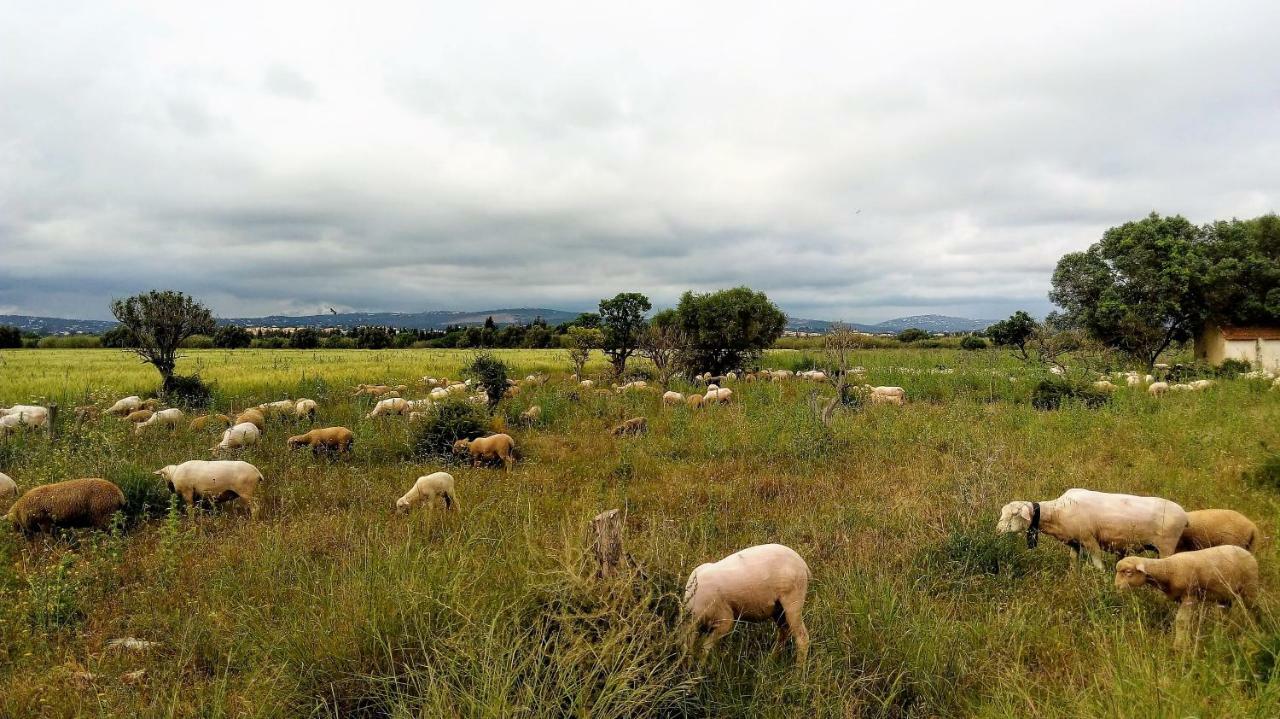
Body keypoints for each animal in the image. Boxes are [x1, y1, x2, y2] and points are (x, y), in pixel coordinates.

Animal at [680, 542, 808, 660]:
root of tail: (803, 564)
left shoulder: (725, 619)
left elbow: (704, 649)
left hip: (793, 601)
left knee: (802, 638)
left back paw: (798, 669)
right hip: (778, 609)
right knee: (784, 632)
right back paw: (771, 659)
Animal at [998, 483, 1187, 568]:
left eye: (1014, 514)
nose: (997, 530)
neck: (1056, 512)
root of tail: (1185, 516)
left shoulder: (1089, 539)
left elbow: (1098, 562)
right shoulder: (1074, 542)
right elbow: (1073, 560)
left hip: (1167, 546)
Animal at [1111, 542, 1259, 644]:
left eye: (1128, 572)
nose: (1117, 586)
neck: (1168, 569)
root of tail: (1248, 553)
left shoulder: (1189, 595)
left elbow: (1182, 621)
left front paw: (1180, 645)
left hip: (1249, 588)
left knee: (1253, 609)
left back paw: (1255, 630)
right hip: (1224, 595)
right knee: (1224, 617)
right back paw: (1220, 636)